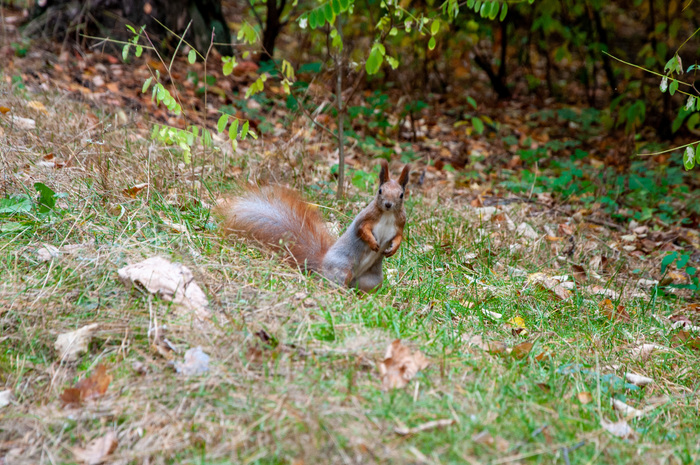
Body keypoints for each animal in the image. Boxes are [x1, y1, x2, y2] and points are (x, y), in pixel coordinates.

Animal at [217, 160, 410, 292]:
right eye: (380, 191)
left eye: (401, 195)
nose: (388, 205)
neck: (387, 215)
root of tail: (321, 264)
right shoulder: (365, 218)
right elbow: (362, 230)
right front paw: (372, 242)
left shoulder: (400, 222)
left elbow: (399, 236)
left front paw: (392, 248)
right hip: (341, 269)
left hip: (372, 280)